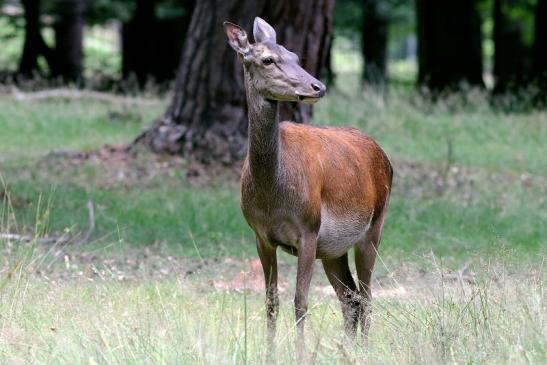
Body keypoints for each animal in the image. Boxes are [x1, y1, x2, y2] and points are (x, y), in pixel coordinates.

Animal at [224, 16, 394, 356]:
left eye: (295, 55)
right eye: (268, 59)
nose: (319, 86)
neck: (272, 196)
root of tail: (384, 156)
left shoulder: (308, 229)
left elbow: (300, 301)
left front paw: (300, 353)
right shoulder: (260, 235)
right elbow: (271, 301)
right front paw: (270, 353)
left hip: (373, 227)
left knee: (366, 295)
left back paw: (364, 350)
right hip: (333, 249)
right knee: (350, 298)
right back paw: (347, 351)